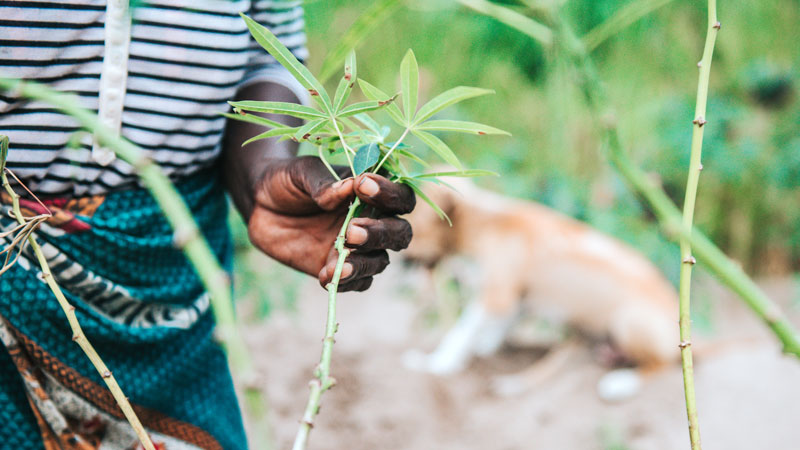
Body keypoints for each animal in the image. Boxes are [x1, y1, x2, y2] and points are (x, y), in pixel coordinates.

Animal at [400, 178, 680, 396]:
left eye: (412, 226)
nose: (401, 265)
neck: (489, 220)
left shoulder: (497, 295)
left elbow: (460, 332)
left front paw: (438, 362)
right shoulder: (520, 296)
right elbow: (502, 324)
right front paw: (485, 343)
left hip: (630, 321)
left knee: (663, 364)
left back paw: (622, 383)